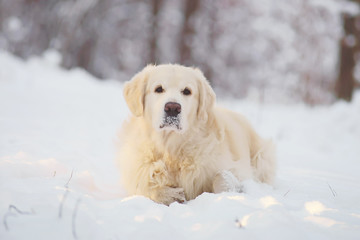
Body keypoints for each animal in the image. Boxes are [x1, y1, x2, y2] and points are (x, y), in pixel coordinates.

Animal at [117, 64, 276, 205]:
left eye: (187, 91)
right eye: (159, 89)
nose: (172, 108)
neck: (172, 148)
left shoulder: (240, 171)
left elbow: (221, 176)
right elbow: (145, 187)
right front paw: (169, 195)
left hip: (262, 156)